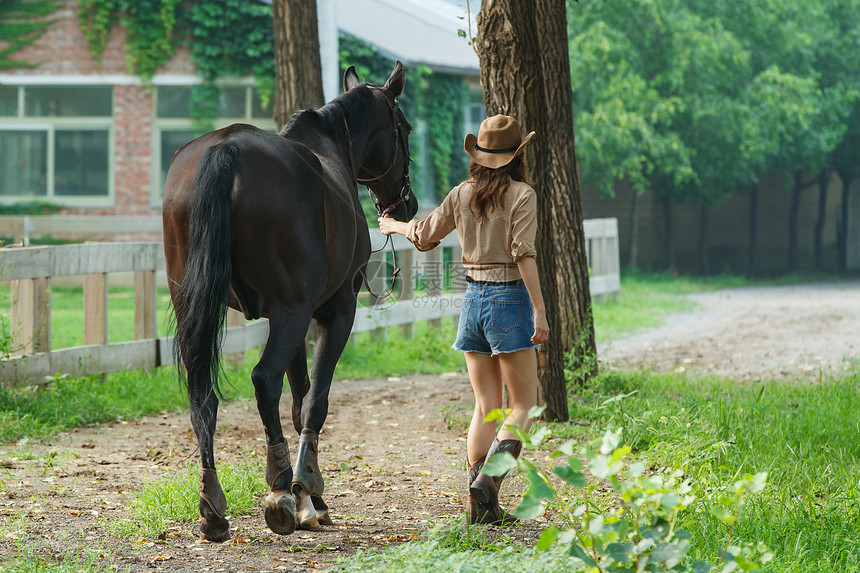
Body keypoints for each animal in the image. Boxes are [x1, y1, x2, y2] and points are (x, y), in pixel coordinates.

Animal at [163, 62, 418, 540]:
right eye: (406, 128)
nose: (406, 205)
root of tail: (226, 149)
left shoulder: (291, 322)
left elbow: (299, 399)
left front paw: (306, 497)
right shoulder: (332, 311)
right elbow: (315, 399)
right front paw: (309, 493)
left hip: (195, 306)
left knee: (202, 396)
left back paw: (213, 507)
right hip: (294, 311)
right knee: (264, 380)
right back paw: (280, 486)